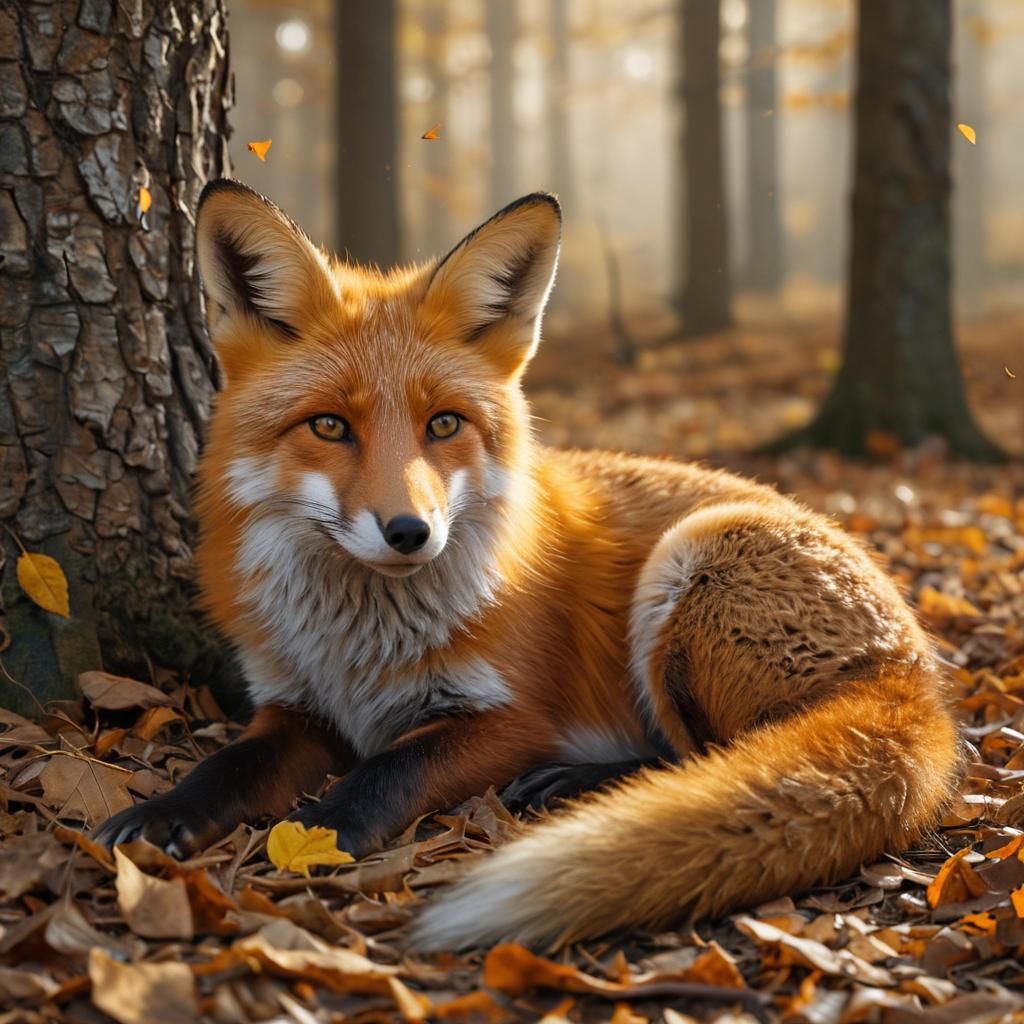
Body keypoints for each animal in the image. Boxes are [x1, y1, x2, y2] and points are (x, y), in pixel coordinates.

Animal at [96, 179, 959, 950]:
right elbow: (226, 768)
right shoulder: (295, 709)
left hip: (688, 565)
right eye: (330, 426)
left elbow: (388, 772)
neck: (358, 649)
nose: (410, 531)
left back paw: (581, 784)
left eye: (444, 424)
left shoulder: (508, 719)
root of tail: (918, 673)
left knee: (711, 755)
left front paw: (315, 830)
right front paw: (160, 814)